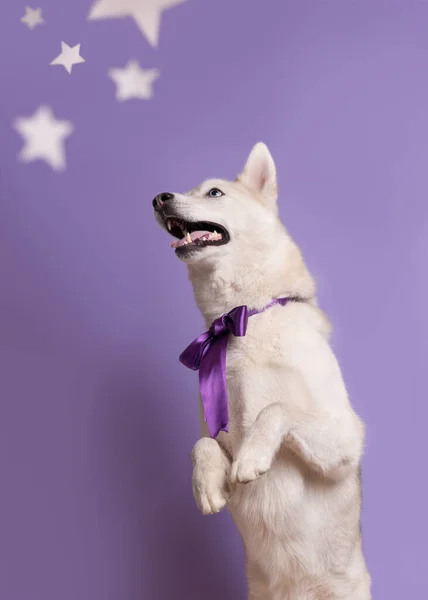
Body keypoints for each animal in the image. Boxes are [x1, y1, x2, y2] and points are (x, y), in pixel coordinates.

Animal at [153, 145, 372, 600]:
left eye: (214, 192)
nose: (158, 198)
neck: (245, 318)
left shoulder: (344, 436)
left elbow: (276, 409)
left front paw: (253, 457)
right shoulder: (214, 427)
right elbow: (201, 444)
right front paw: (208, 485)